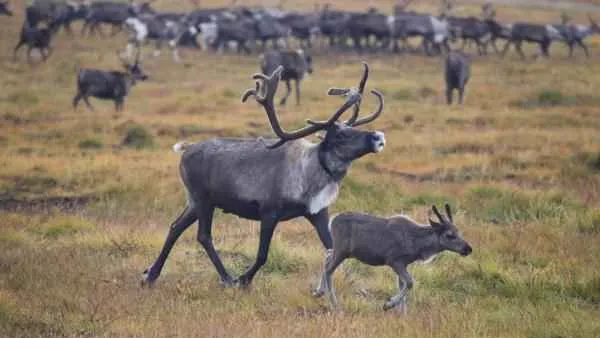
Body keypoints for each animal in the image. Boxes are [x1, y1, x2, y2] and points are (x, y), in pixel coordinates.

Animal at [314, 203, 474, 312]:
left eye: (458, 231)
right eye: (449, 235)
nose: (468, 248)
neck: (417, 246)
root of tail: (331, 221)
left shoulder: (404, 264)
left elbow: (403, 285)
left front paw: (402, 314)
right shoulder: (394, 260)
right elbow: (409, 283)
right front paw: (389, 304)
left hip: (339, 249)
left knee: (327, 257)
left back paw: (318, 291)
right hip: (342, 250)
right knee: (329, 270)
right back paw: (335, 306)